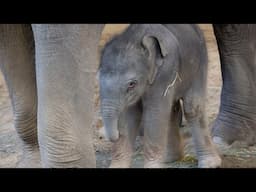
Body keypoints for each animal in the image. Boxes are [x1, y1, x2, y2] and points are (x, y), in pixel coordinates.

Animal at [99, 24, 221, 168]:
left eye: (131, 84)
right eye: (98, 79)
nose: (116, 135)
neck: (135, 38)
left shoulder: (165, 70)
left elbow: (155, 112)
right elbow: (129, 114)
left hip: (200, 64)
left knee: (192, 108)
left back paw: (210, 163)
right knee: (172, 111)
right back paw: (170, 159)